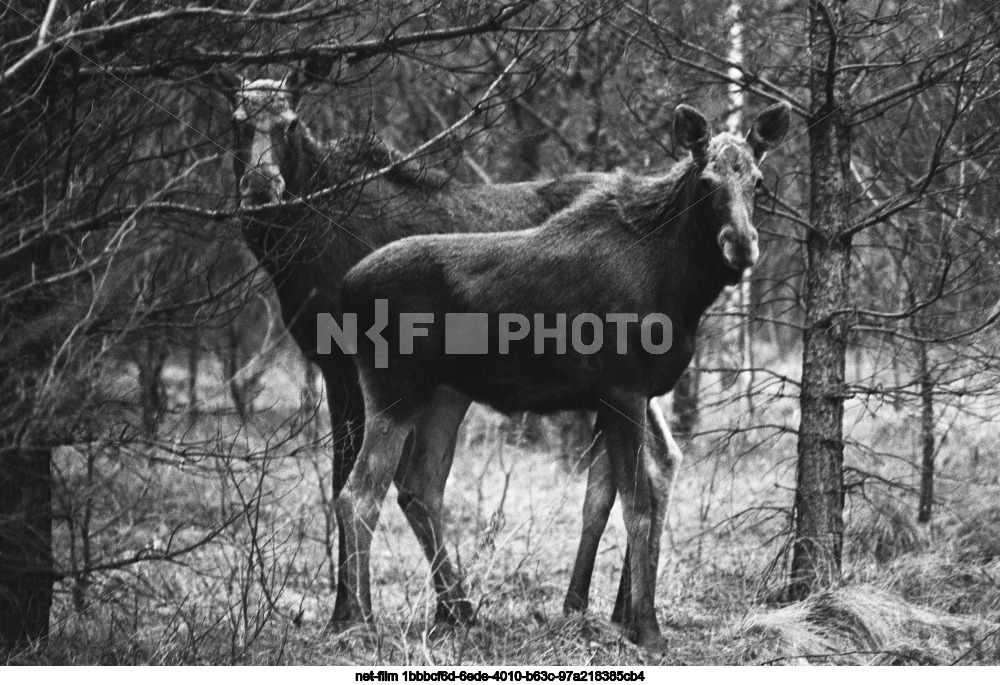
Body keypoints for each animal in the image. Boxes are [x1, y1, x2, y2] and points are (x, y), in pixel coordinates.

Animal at [340, 99, 792, 648]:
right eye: (707, 182)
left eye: (759, 181)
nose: (742, 247)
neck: (681, 290)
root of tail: (346, 286)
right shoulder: (623, 389)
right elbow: (637, 505)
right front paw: (648, 629)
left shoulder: (623, 394)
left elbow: (604, 497)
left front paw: (588, 610)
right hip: (393, 389)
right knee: (359, 494)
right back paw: (360, 621)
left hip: (446, 393)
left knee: (418, 487)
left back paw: (457, 612)